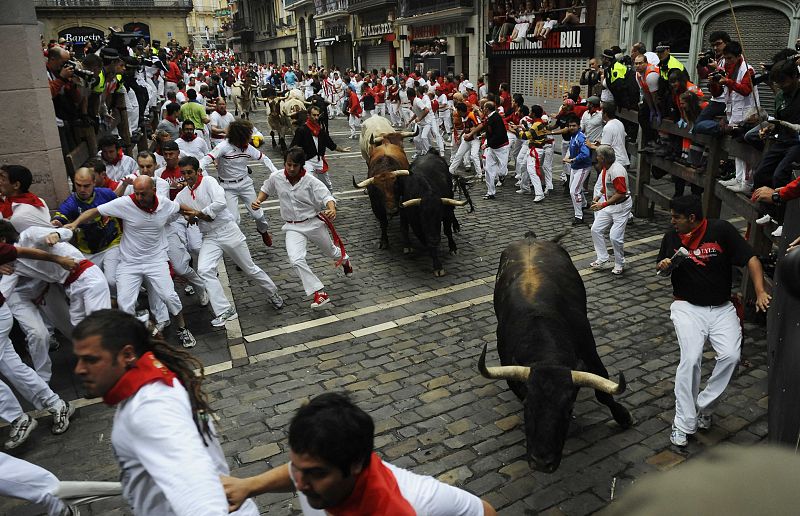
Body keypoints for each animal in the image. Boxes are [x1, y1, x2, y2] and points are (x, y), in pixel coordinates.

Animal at [478, 232, 636, 474]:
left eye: (568, 408)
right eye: (527, 405)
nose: (542, 462)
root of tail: (530, 238)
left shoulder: (591, 356)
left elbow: (603, 393)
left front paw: (623, 416)